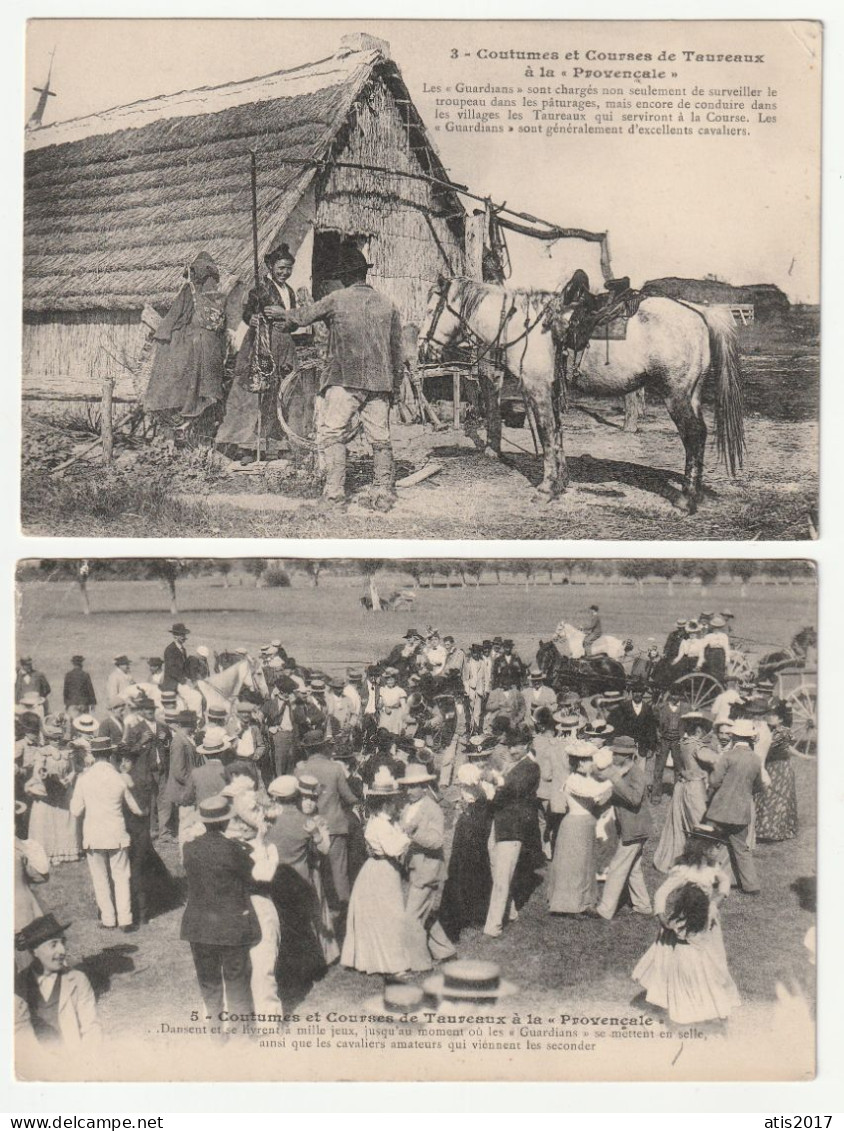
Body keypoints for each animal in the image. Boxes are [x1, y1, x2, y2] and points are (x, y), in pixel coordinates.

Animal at [416, 275, 742, 515]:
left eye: (431, 311)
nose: (422, 349)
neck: (522, 326)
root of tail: (700, 312)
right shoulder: (551, 389)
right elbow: (557, 435)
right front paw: (561, 483)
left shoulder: (537, 389)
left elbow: (547, 435)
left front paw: (546, 489)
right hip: (692, 394)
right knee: (699, 434)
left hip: (676, 396)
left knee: (694, 436)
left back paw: (686, 500)